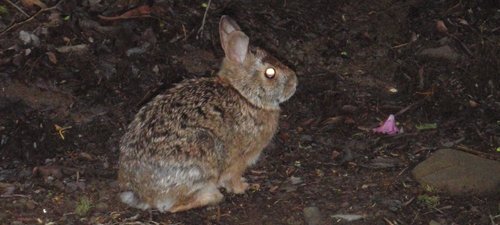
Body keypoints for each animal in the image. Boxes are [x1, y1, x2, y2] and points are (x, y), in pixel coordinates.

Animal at [117, 15, 296, 213]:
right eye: (270, 73)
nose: (295, 82)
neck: (244, 95)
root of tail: (140, 192)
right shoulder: (240, 158)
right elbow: (233, 177)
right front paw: (242, 187)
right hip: (203, 153)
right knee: (172, 206)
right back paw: (212, 196)